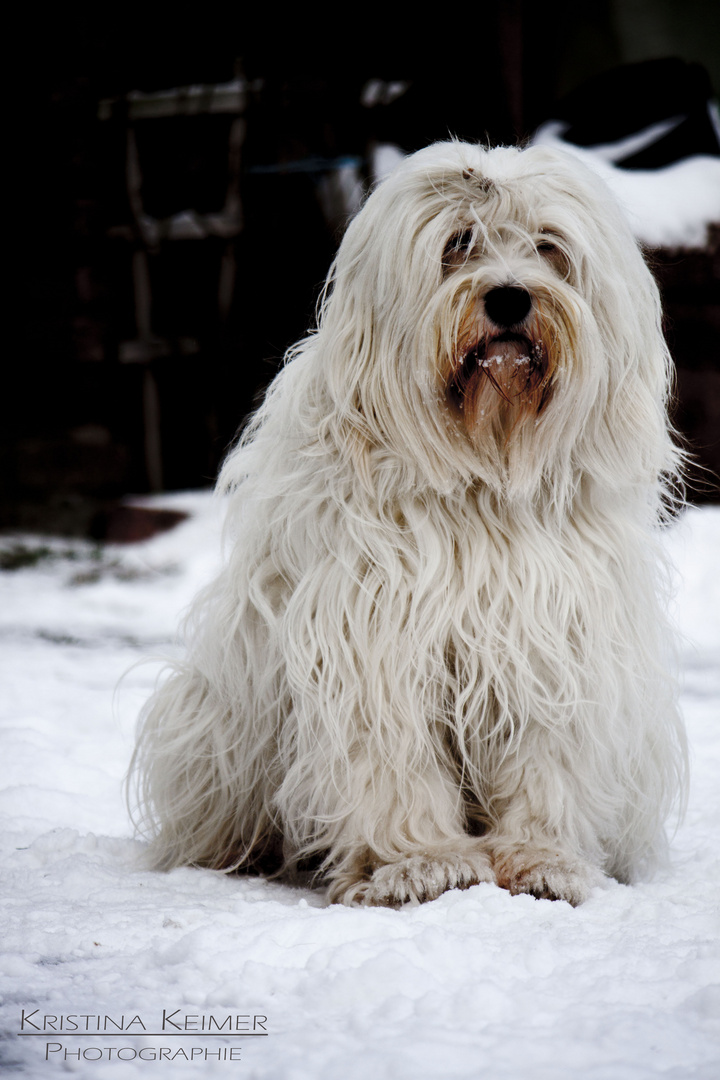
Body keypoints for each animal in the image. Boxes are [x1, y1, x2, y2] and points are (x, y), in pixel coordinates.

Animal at [129, 141, 686, 902]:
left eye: (548, 247)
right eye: (457, 244)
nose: (509, 297)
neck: (482, 480)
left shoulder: (550, 637)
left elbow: (545, 761)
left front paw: (543, 860)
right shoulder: (374, 636)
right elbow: (391, 759)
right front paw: (418, 863)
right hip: (214, 722)